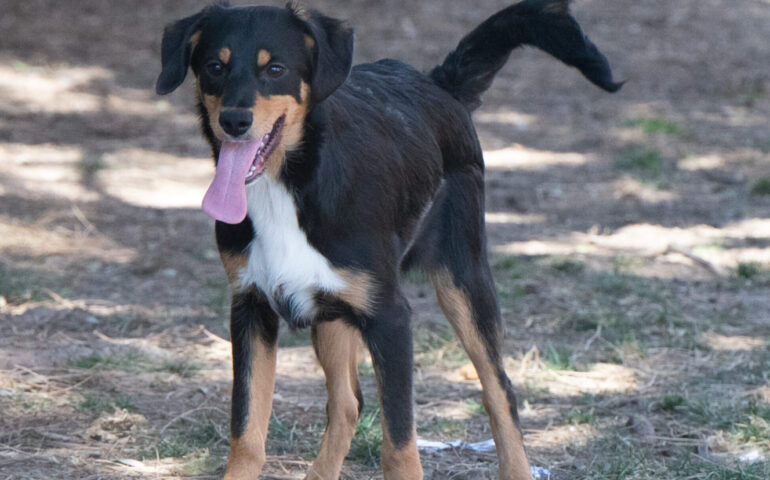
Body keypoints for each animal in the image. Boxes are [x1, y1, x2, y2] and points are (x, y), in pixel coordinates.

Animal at [156, 1, 616, 478]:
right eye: (215, 67)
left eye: (275, 69)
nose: (233, 121)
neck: (292, 184)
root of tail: (437, 83)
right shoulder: (251, 307)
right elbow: (246, 431)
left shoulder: (390, 317)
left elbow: (399, 444)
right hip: (332, 311)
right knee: (347, 403)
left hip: (464, 279)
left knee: (499, 390)